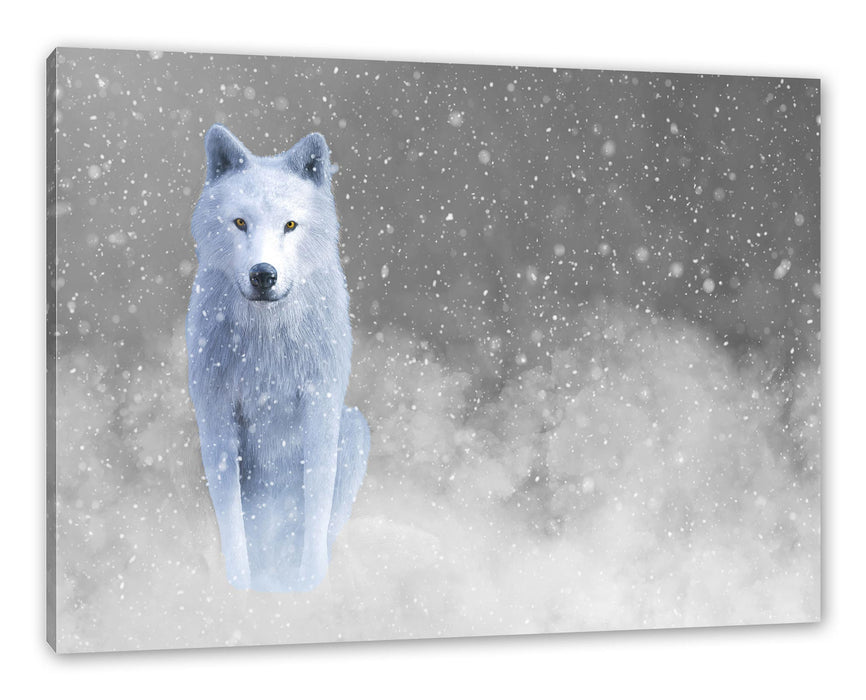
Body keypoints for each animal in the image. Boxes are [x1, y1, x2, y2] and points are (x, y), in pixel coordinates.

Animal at [186, 125, 370, 592]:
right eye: (240, 222)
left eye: (290, 225)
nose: (263, 274)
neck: (266, 344)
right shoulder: (215, 413)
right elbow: (231, 518)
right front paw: (239, 588)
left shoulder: (320, 405)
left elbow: (317, 502)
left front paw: (309, 587)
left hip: (354, 426)